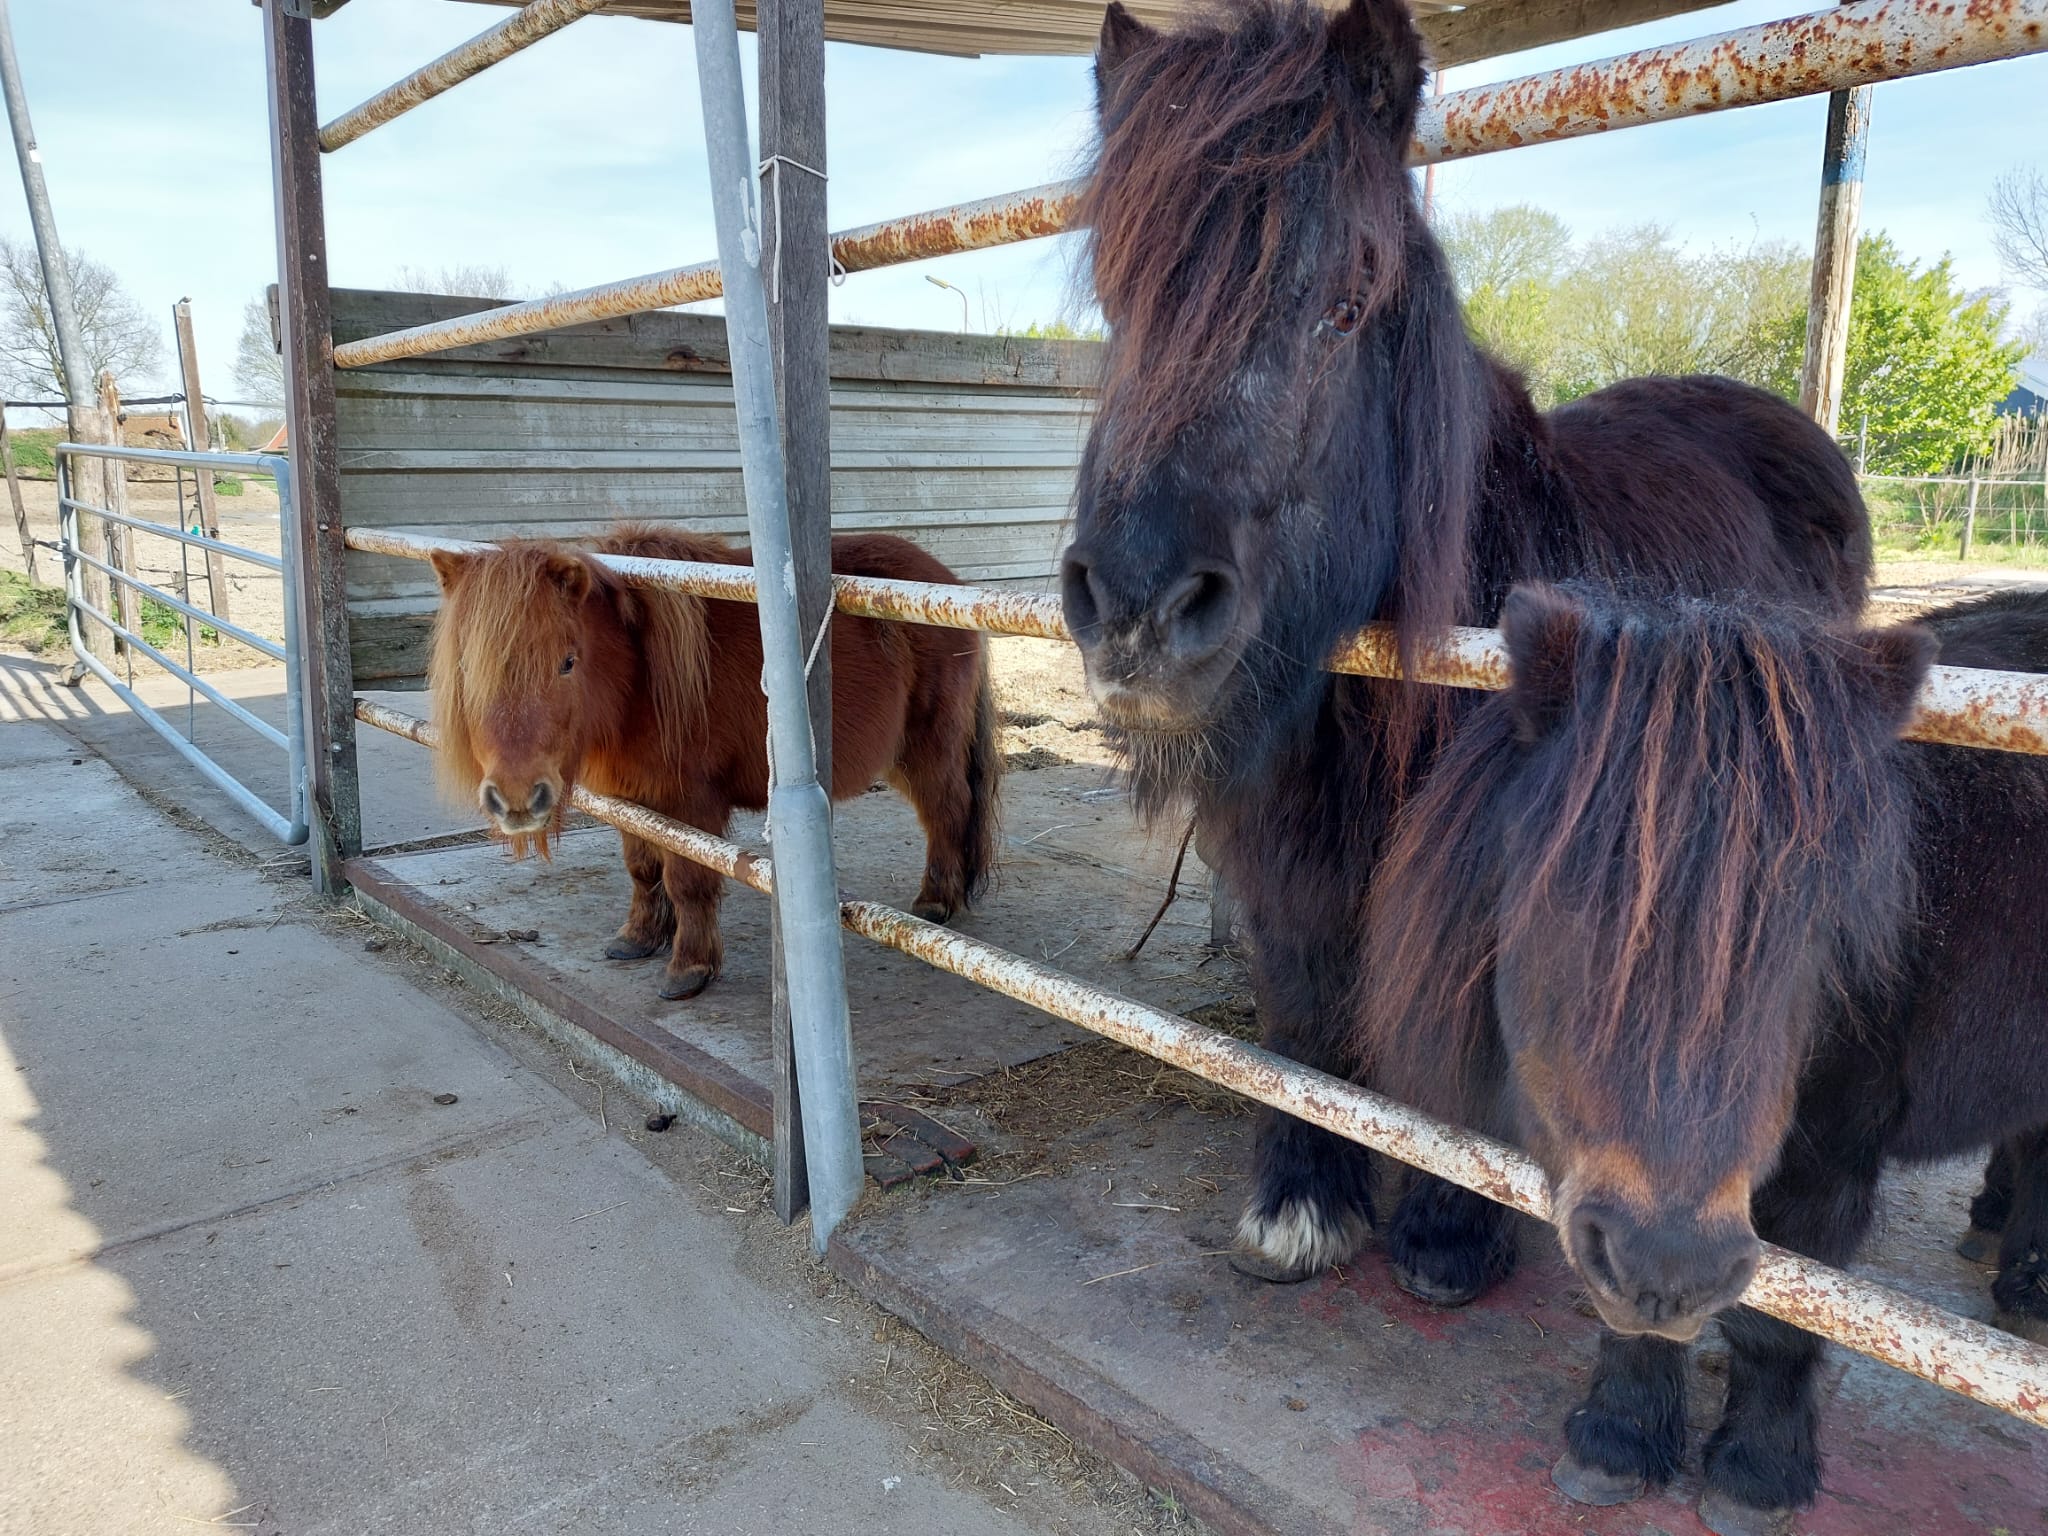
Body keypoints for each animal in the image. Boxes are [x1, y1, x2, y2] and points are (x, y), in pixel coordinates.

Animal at [427, 524, 1000, 1002]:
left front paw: (689, 969)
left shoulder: (691, 804)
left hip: (926, 748)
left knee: (947, 809)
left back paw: (936, 902)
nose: (516, 798)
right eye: (467, 666)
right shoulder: (632, 798)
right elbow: (642, 868)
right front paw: (639, 937)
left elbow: (688, 881)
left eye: (567, 662)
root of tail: (948, 583)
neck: (642, 679)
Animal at [1058, 0, 1873, 1295]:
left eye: (1345, 303)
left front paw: (1448, 1231)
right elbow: (1301, 1015)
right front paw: (1303, 1199)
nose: (1134, 608)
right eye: (1115, 302)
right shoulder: (1286, 860)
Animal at [1359, 582, 2048, 1531]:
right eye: (1565, 902)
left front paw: (1756, 1475)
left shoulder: (1829, 1162)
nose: (1673, 1267)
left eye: (1819, 935)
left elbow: (1782, 1324)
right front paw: (1617, 1441)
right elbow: (1623, 1312)